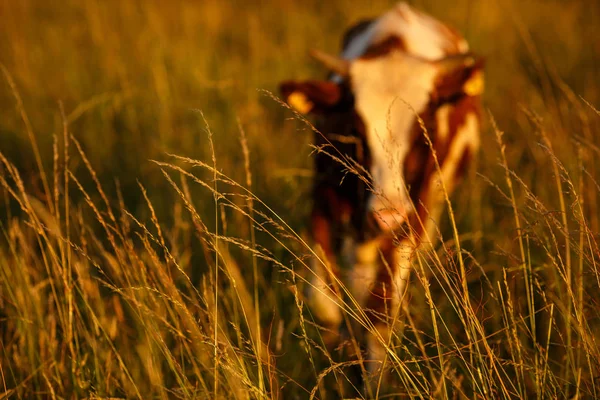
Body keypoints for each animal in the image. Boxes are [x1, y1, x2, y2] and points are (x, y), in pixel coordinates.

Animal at [280, 2, 482, 378]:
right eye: (355, 128)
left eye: (424, 128)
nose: (387, 216)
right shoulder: (324, 196)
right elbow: (323, 300)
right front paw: (337, 351)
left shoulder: (412, 218)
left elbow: (381, 314)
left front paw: (374, 380)